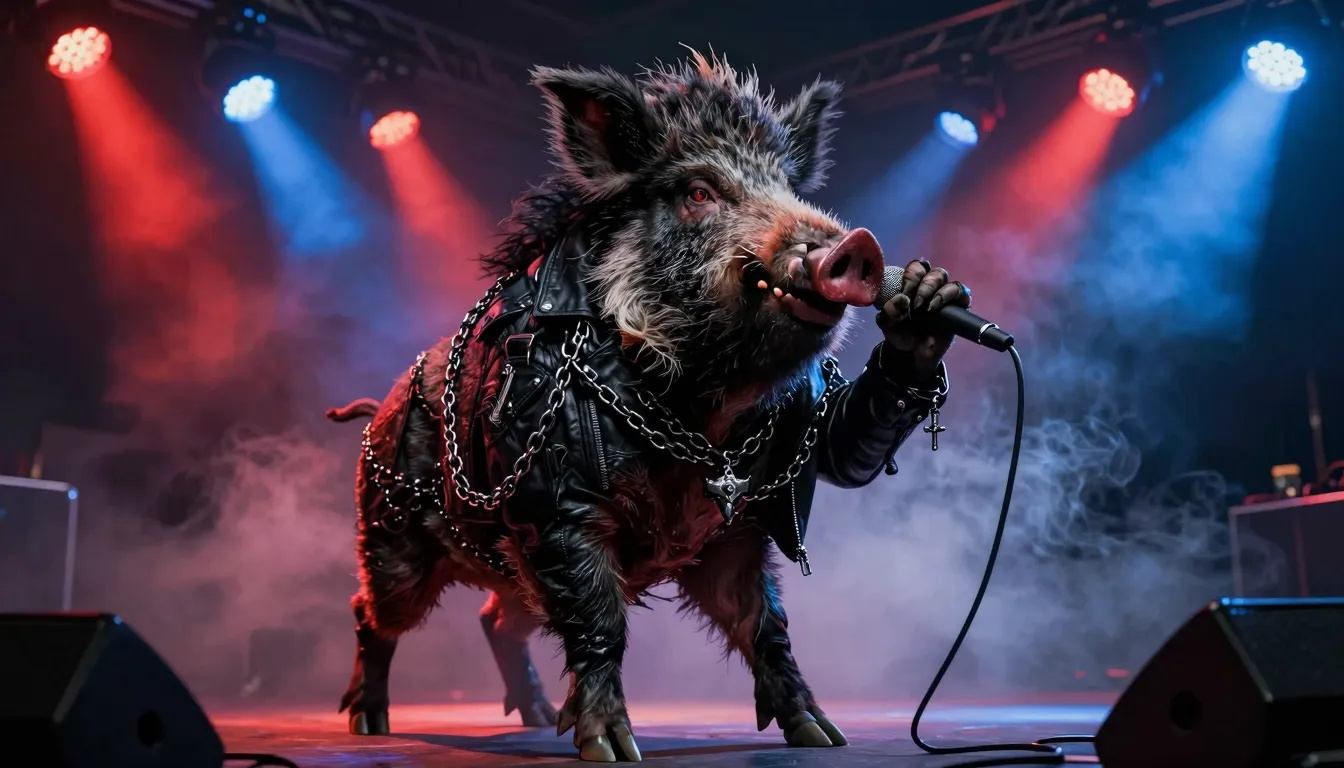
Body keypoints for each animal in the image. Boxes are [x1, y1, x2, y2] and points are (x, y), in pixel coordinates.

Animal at [327, 52, 972, 762]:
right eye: (698, 193)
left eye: (784, 184)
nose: (856, 244)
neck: (703, 404)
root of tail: (377, 410)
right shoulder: (558, 509)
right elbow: (601, 624)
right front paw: (611, 749)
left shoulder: (743, 523)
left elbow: (769, 621)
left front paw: (823, 736)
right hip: (393, 538)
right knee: (370, 613)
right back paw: (368, 724)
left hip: (504, 567)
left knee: (496, 617)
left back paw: (534, 718)